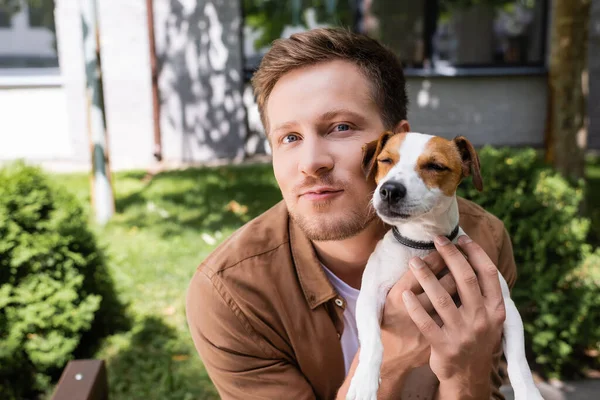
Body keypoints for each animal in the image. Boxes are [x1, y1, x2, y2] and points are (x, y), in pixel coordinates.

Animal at [344, 132, 540, 400]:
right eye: (385, 160)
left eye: (435, 166)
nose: (390, 190)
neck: (423, 243)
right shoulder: (370, 296)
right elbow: (373, 342)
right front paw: (364, 382)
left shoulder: (506, 306)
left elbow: (519, 362)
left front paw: (529, 393)